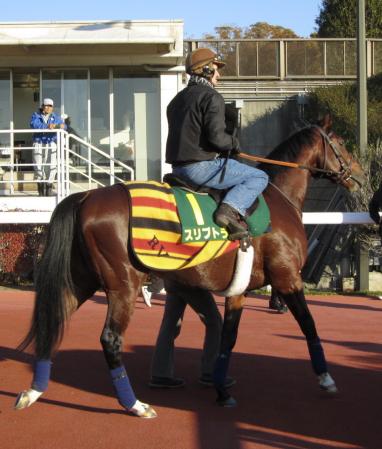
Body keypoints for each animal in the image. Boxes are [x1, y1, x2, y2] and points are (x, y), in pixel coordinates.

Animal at [14, 115, 366, 416]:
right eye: (340, 142)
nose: (362, 176)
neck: (277, 199)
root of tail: (86, 197)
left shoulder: (239, 290)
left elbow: (228, 338)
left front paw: (222, 389)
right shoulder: (288, 279)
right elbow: (309, 325)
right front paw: (326, 378)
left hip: (82, 279)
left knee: (53, 318)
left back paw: (33, 392)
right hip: (122, 285)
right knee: (110, 340)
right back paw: (135, 405)